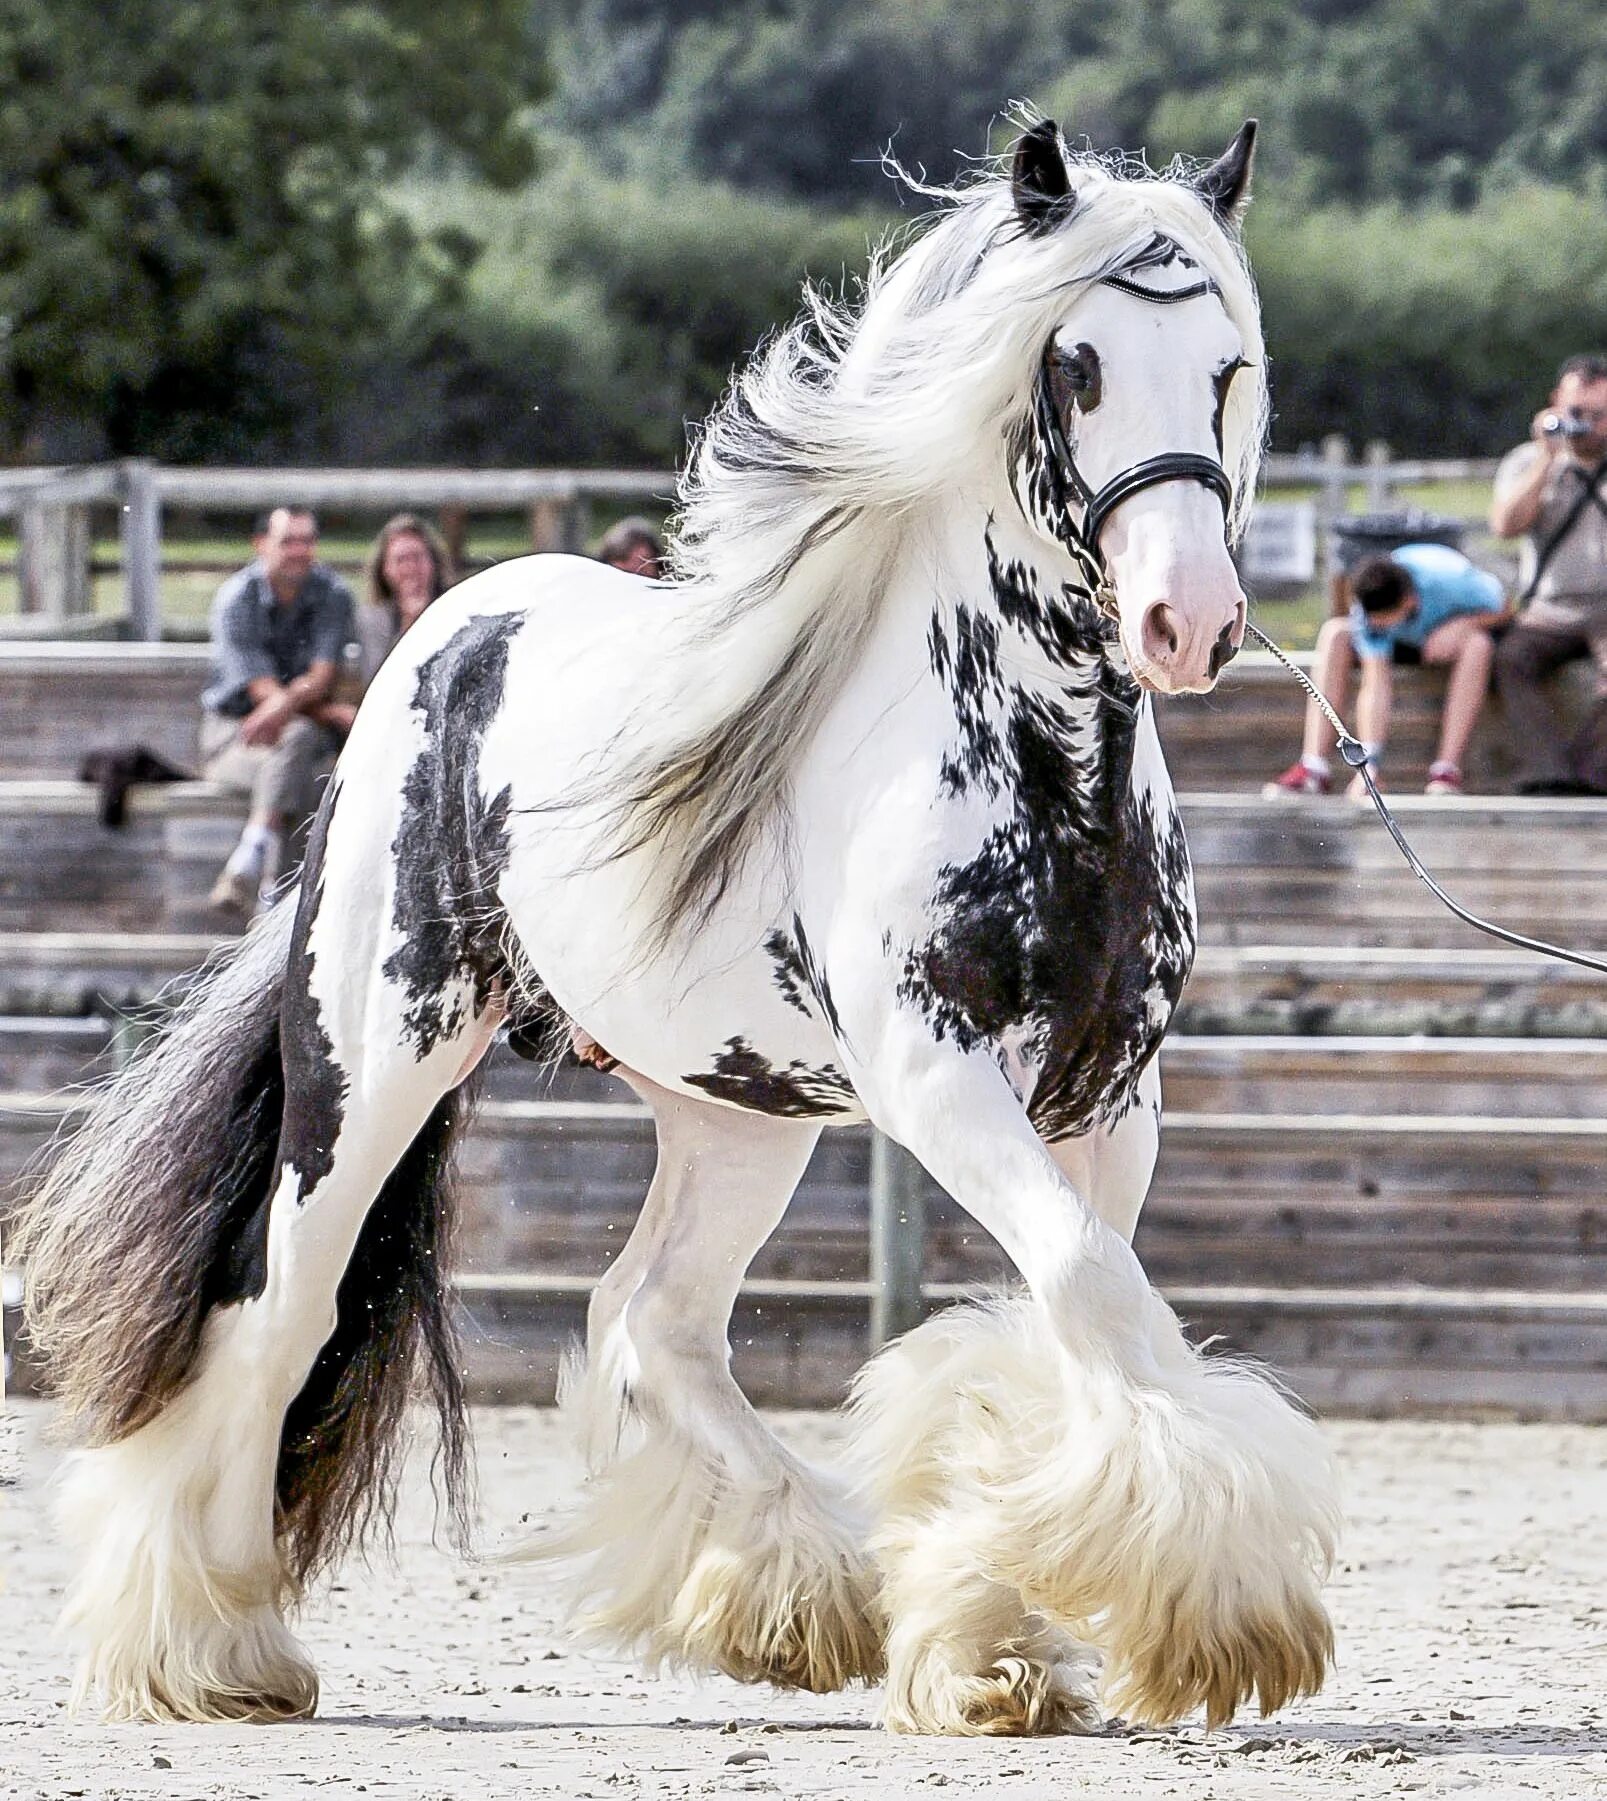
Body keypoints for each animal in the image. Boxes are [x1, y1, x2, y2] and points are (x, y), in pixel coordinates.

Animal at [18, 119, 1340, 1736]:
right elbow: (1087, 1286)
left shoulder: (1107, 1099)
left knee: (651, 1315)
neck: (1045, 774)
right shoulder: (936, 1073)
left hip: (734, 1110)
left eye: (1226, 365)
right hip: (373, 1060)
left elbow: (1073, 1308)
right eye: (1073, 364)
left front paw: (1000, 1641)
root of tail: (445, 636)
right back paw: (212, 1650)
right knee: (283, 1309)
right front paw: (1201, 1618)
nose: (1187, 622)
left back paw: (793, 1599)